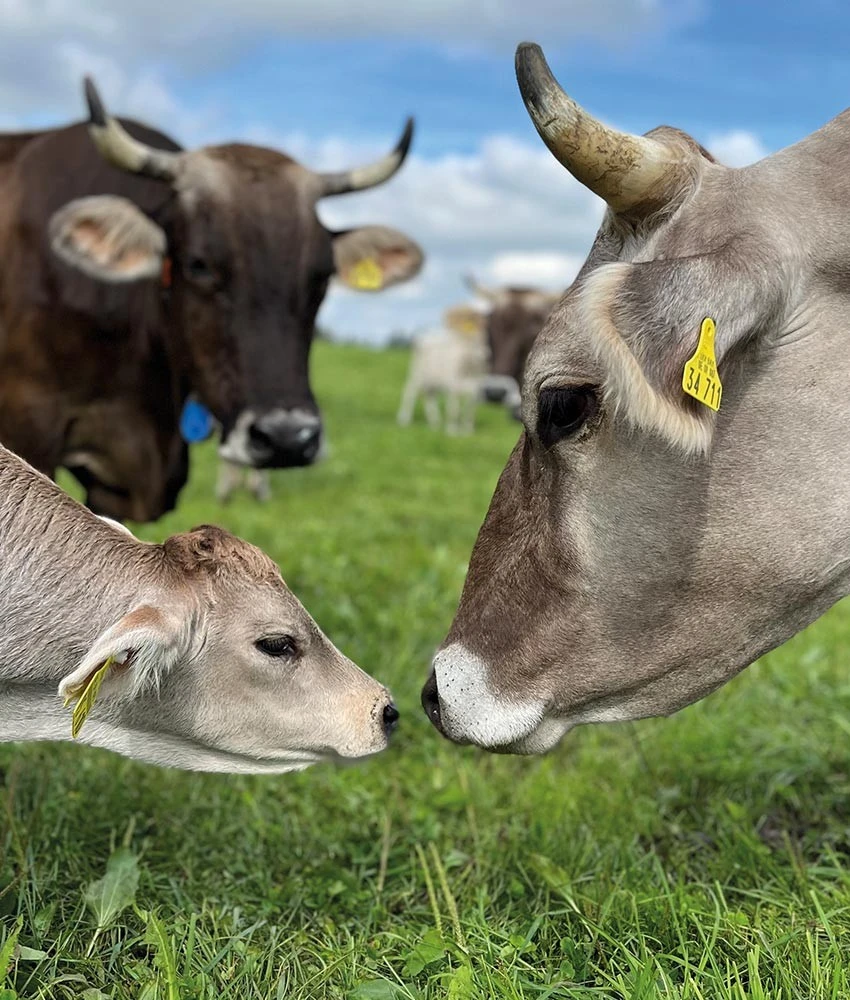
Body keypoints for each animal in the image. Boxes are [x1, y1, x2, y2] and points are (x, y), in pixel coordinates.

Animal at [397, 305, 491, 434]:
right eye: (472, 341)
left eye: (485, 339)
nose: (485, 356)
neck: (469, 369)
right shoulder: (454, 385)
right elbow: (453, 408)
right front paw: (452, 430)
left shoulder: (475, 388)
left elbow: (469, 410)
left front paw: (467, 431)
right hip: (417, 373)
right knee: (410, 392)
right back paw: (404, 419)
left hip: (432, 380)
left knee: (430, 397)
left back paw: (435, 422)